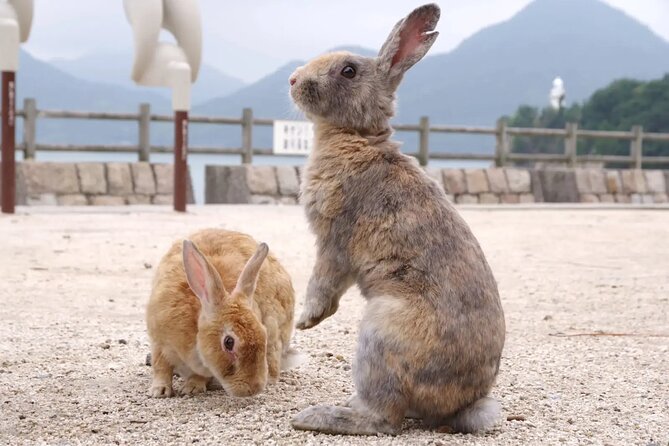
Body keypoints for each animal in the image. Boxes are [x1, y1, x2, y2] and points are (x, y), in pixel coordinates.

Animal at [146, 229, 299, 398]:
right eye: (229, 342)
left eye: (262, 334)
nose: (254, 389)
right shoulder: (159, 341)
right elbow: (161, 366)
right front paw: (159, 391)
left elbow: (199, 375)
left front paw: (192, 387)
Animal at [288, 3, 506, 436]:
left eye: (348, 71)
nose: (293, 79)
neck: (357, 136)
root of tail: (459, 404)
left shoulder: (334, 242)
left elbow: (322, 283)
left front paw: (305, 321)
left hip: (380, 332)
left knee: (384, 419)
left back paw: (317, 416)